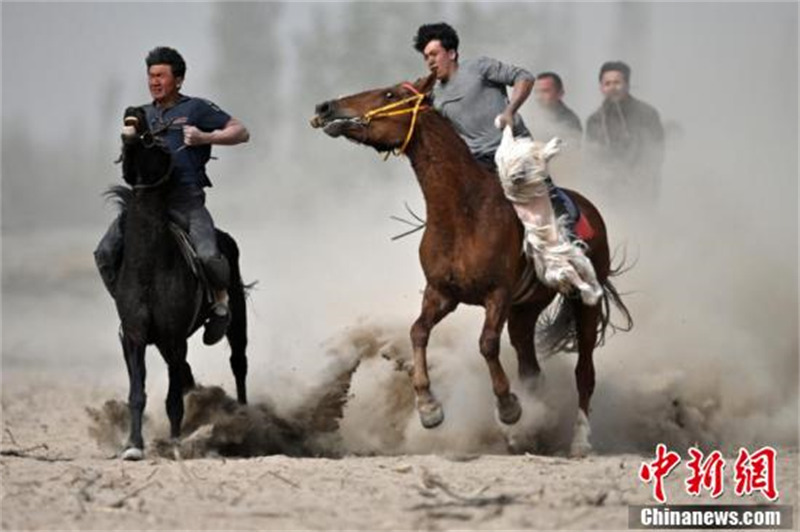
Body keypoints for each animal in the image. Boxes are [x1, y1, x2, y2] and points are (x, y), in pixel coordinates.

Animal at [312, 74, 632, 458]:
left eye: (389, 94)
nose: (325, 107)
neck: (464, 212)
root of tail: (590, 208)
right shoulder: (441, 293)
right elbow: (418, 332)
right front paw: (429, 409)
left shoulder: (498, 294)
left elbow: (487, 344)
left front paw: (508, 408)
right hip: (524, 312)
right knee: (531, 368)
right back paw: (528, 432)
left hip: (584, 302)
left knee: (584, 372)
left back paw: (579, 441)